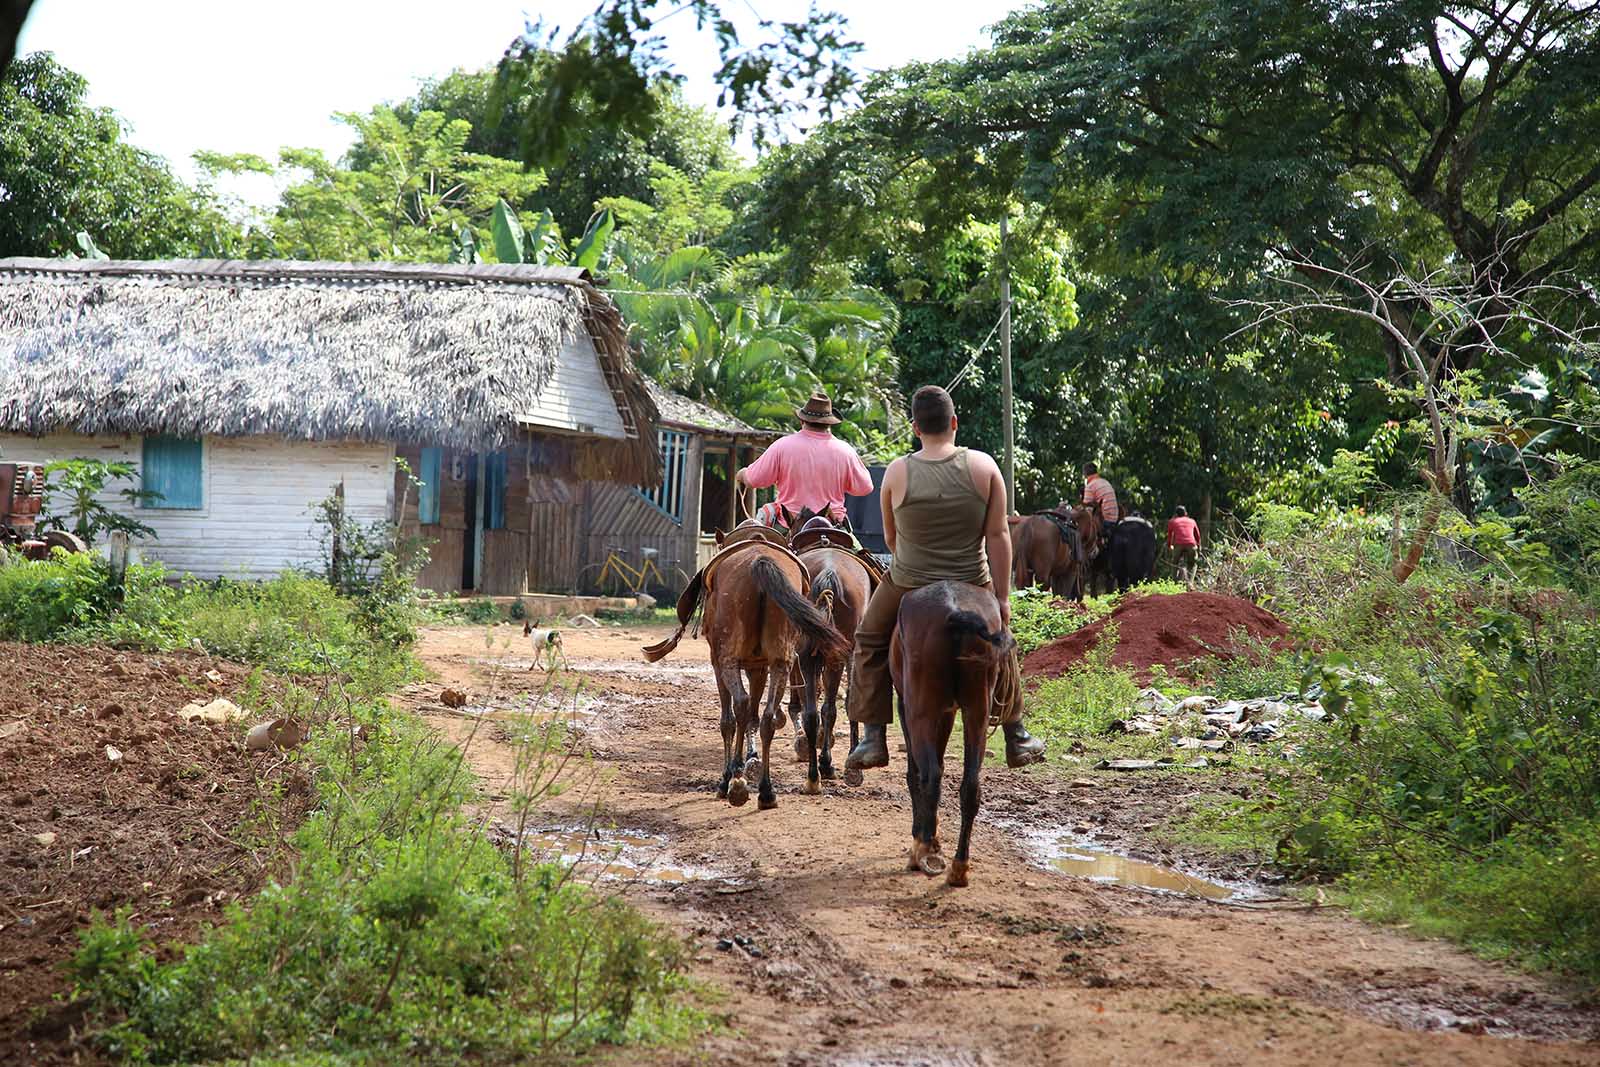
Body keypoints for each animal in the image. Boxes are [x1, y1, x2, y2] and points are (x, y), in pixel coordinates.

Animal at [700, 547, 851, 806]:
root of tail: (760, 561)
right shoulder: (759, 667)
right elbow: (755, 716)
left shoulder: (718, 662)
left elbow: (728, 721)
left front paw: (727, 777)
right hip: (782, 662)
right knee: (768, 717)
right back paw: (767, 791)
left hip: (728, 659)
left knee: (741, 705)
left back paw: (736, 781)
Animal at [889, 579, 1011, 889]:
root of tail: (956, 613)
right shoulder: (947, 711)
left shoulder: (906, 706)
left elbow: (915, 773)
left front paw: (924, 838)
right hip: (978, 711)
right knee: (971, 786)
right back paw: (959, 867)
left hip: (920, 710)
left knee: (929, 776)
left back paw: (922, 852)